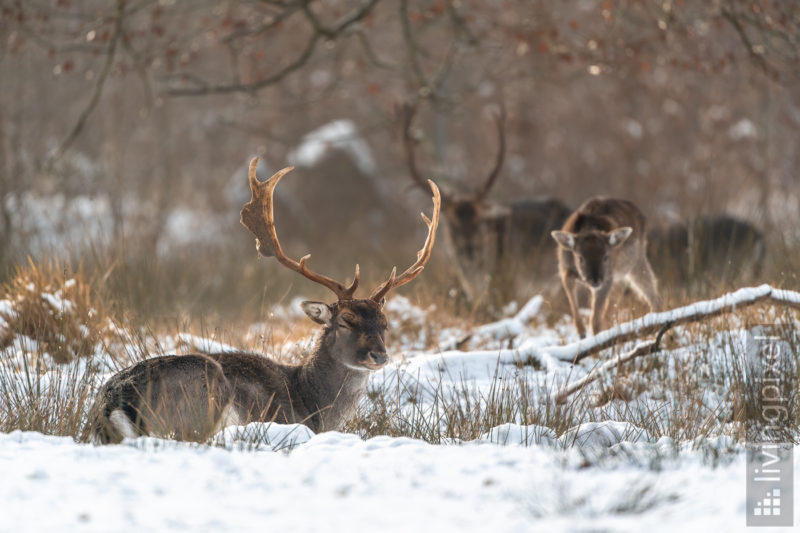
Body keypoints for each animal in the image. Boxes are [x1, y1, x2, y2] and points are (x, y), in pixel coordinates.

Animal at [86, 158, 444, 444]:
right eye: (345, 321)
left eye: (385, 324)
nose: (379, 355)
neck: (311, 401)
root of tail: (114, 402)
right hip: (201, 400)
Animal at [552, 195, 664, 336]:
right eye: (580, 258)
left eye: (606, 256)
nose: (595, 280)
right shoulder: (564, 268)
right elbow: (571, 293)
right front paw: (581, 331)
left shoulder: (607, 278)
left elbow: (595, 319)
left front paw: (595, 337)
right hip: (620, 276)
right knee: (614, 303)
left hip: (636, 261)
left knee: (652, 292)